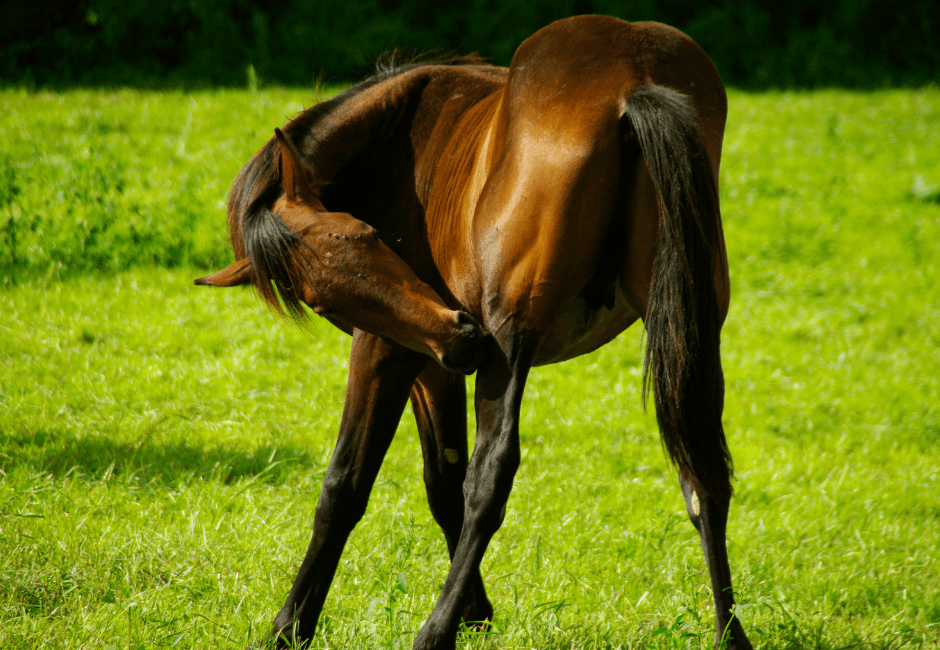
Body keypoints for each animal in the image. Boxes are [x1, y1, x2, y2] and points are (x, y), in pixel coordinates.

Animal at [195, 15, 751, 650]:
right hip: (688, 336)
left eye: (367, 234)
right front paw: (476, 612)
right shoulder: (434, 359)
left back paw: (432, 632)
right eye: (319, 296)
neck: (397, 132)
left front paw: (291, 625)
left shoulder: (390, 348)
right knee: (702, 473)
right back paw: (731, 633)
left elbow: (348, 485)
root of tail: (633, 76)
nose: (462, 333)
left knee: (494, 473)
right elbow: (443, 479)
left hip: (511, 343)